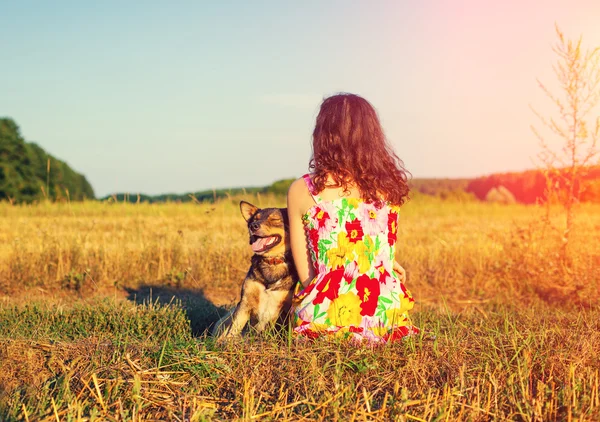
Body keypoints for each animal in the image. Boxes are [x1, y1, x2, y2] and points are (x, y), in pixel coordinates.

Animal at [212, 199, 298, 338]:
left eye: (275, 219)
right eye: (254, 219)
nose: (253, 226)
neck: (271, 261)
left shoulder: (285, 310)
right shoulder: (244, 303)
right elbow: (233, 330)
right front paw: (228, 342)